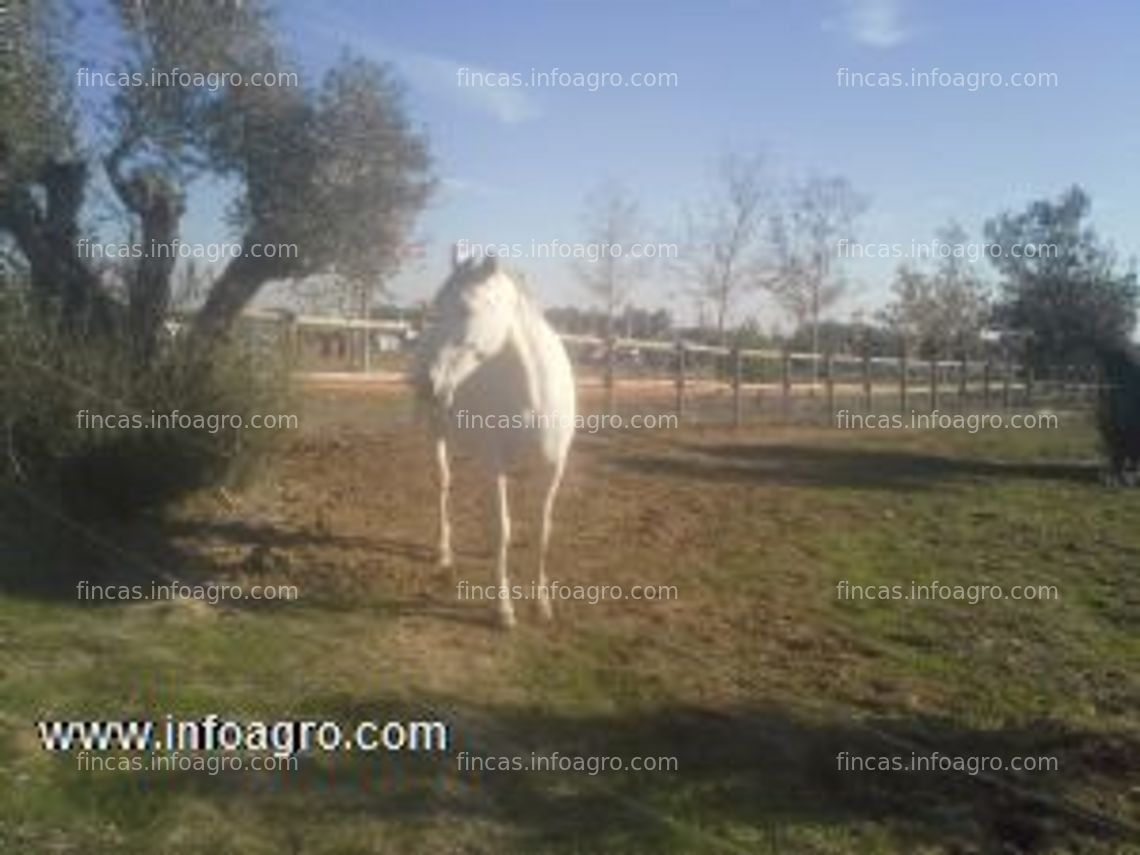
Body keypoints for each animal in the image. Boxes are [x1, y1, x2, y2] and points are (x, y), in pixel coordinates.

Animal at [417, 249, 574, 629]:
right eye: (437, 306)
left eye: (466, 309)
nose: (426, 383)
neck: (535, 393)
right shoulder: (494, 464)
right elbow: (502, 529)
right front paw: (503, 610)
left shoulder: (552, 468)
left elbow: (542, 530)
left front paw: (541, 604)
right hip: (438, 436)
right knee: (444, 484)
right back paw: (444, 555)